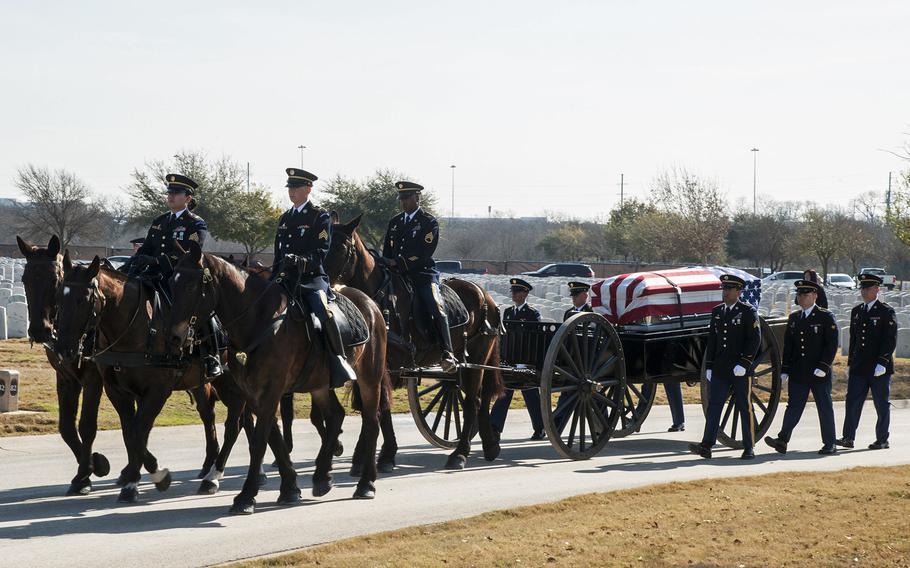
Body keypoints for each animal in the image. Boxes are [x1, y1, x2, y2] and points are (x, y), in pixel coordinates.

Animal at [51, 253, 268, 502]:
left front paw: (151, 476)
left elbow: (137, 432)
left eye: (83, 299)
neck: (137, 326)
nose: (63, 349)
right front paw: (132, 477)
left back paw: (213, 477)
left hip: (230, 381)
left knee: (234, 424)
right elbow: (131, 433)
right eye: (59, 297)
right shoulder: (117, 391)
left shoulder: (157, 391)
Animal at [167, 241, 388, 516]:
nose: (174, 337)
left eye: (190, 285)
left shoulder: (270, 390)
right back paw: (322, 478)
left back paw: (366, 482)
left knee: (372, 421)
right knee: (336, 415)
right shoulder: (253, 393)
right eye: (171, 283)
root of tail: (371, 304)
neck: (259, 321)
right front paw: (290, 488)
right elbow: (273, 437)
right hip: (320, 384)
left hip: (369, 379)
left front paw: (246, 496)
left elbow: (260, 440)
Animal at [322, 215, 506, 468]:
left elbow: (379, 404)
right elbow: (371, 404)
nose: (320, 278)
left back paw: (460, 453)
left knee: (473, 401)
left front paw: (382, 455)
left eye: (340, 247)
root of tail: (485, 295)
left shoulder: (386, 365)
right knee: (481, 398)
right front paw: (369, 454)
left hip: (477, 357)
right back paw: (489, 446)